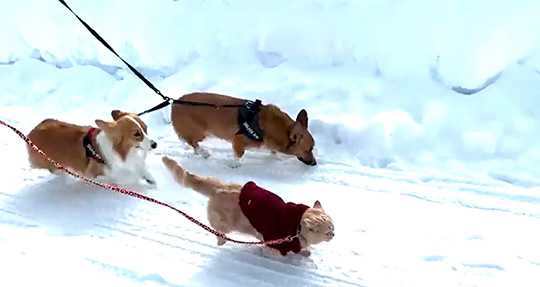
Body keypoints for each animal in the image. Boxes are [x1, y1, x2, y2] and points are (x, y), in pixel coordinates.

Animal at [27, 110, 157, 189]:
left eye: (146, 129)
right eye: (136, 134)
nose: (155, 144)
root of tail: (32, 132)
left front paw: (150, 180)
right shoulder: (95, 175)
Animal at [162, 156, 336, 258]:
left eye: (333, 228)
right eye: (327, 232)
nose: (333, 235)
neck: (296, 229)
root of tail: (220, 187)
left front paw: (305, 251)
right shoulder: (272, 242)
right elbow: (273, 252)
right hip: (224, 223)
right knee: (217, 230)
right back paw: (221, 240)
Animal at [171, 93, 316, 166]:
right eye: (309, 149)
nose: (315, 163)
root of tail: (174, 103)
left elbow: (273, 152)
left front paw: (274, 159)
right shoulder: (238, 141)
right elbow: (238, 156)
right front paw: (235, 165)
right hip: (201, 133)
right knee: (193, 142)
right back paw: (203, 153)